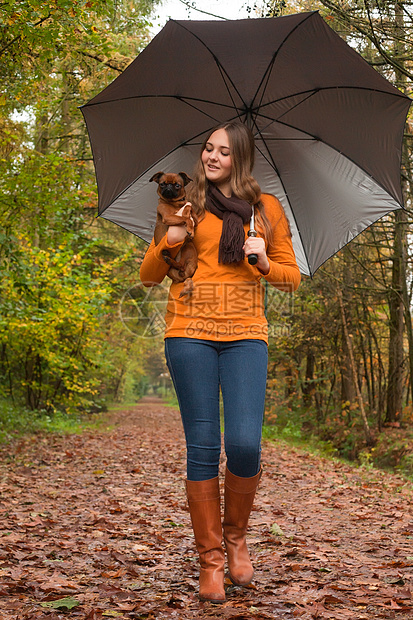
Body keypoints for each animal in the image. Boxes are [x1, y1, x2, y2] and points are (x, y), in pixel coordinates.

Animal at [150, 168, 198, 296]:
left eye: (177, 185)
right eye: (162, 184)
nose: (168, 187)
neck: (175, 203)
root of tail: (184, 277)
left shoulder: (195, 219)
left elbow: (188, 208)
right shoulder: (168, 217)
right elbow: (186, 217)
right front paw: (188, 224)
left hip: (189, 247)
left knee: (181, 265)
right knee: (180, 266)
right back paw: (168, 257)